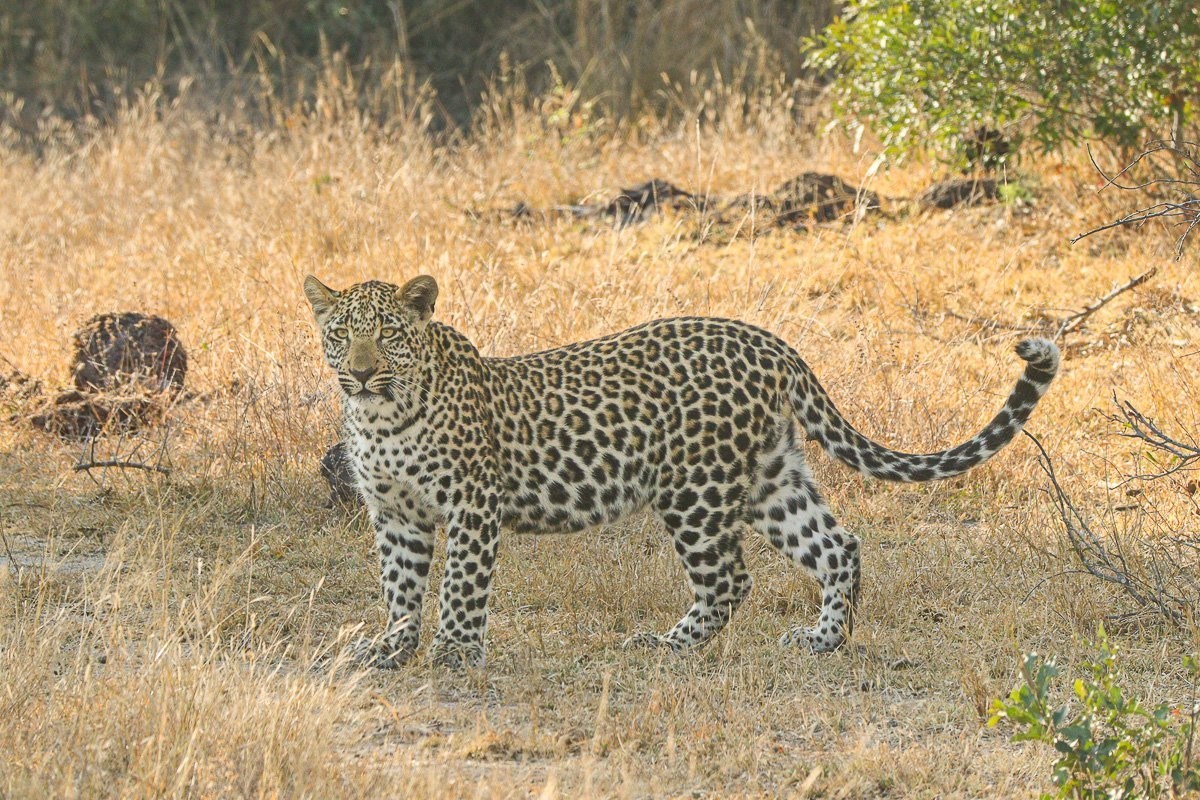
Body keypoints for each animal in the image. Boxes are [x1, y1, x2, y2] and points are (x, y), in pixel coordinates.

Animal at [304, 274, 1060, 669]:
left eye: (389, 333)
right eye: (341, 332)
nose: (361, 371)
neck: (382, 416)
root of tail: (771, 343)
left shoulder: (470, 505)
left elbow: (460, 586)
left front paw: (456, 654)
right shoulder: (394, 514)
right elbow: (400, 588)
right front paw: (390, 649)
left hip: (694, 489)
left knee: (730, 578)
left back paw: (666, 645)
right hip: (770, 480)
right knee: (838, 545)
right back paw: (822, 641)